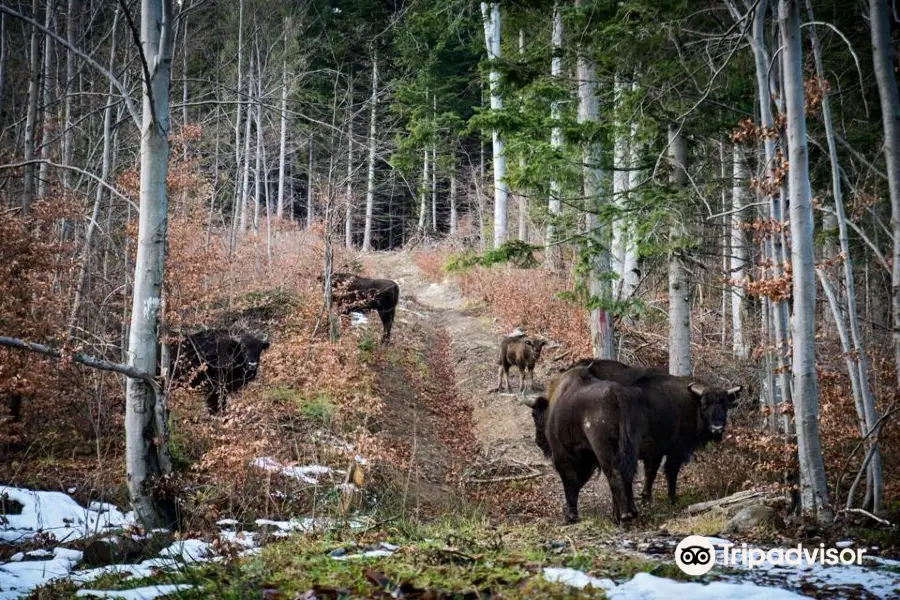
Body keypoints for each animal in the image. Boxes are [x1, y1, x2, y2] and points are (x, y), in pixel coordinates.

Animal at [520, 364, 648, 524]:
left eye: (534, 415)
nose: (538, 441)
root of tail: (616, 394)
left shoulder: (563, 456)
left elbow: (570, 482)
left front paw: (570, 515)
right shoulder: (588, 458)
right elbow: (579, 482)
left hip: (604, 450)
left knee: (614, 473)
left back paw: (623, 515)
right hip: (628, 448)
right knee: (627, 473)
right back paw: (628, 512)